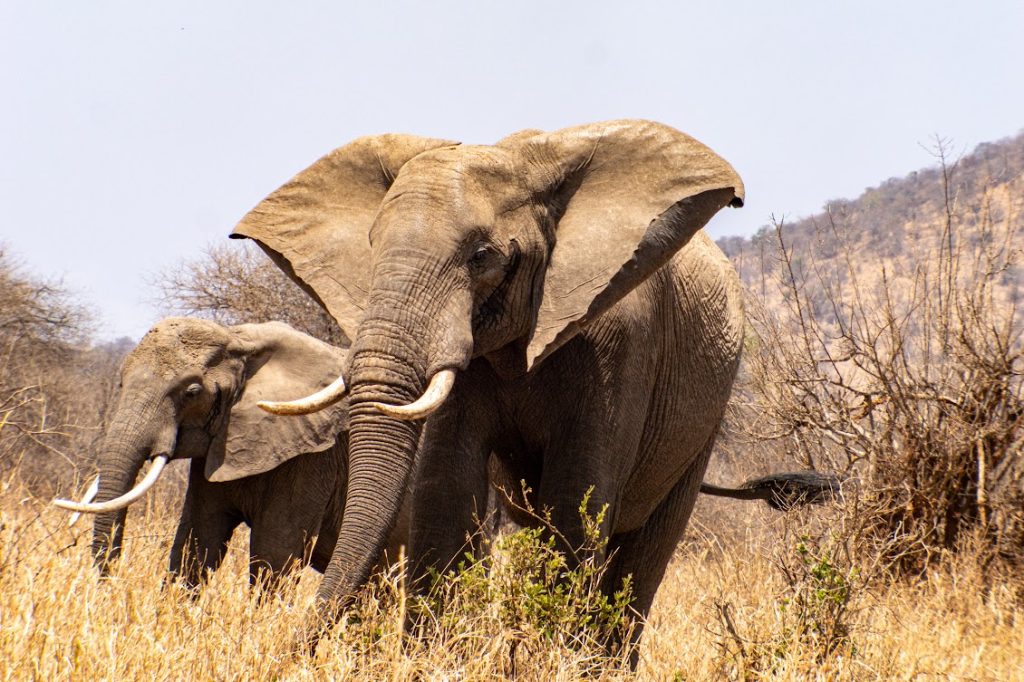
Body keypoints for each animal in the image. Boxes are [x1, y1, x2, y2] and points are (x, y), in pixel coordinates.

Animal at [53, 317, 408, 590]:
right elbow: (197, 539)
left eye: (192, 392)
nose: (109, 587)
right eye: (121, 383)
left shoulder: (313, 459)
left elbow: (275, 552)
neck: (238, 340)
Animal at [230, 119, 746, 654]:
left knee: (643, 557)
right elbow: (447, 492)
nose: (289, 646)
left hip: (705, 421)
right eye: (372, 246)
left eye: (482, 257)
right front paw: (431, 658)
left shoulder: (621, 346)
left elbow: (575, 502)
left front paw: (553, 659)